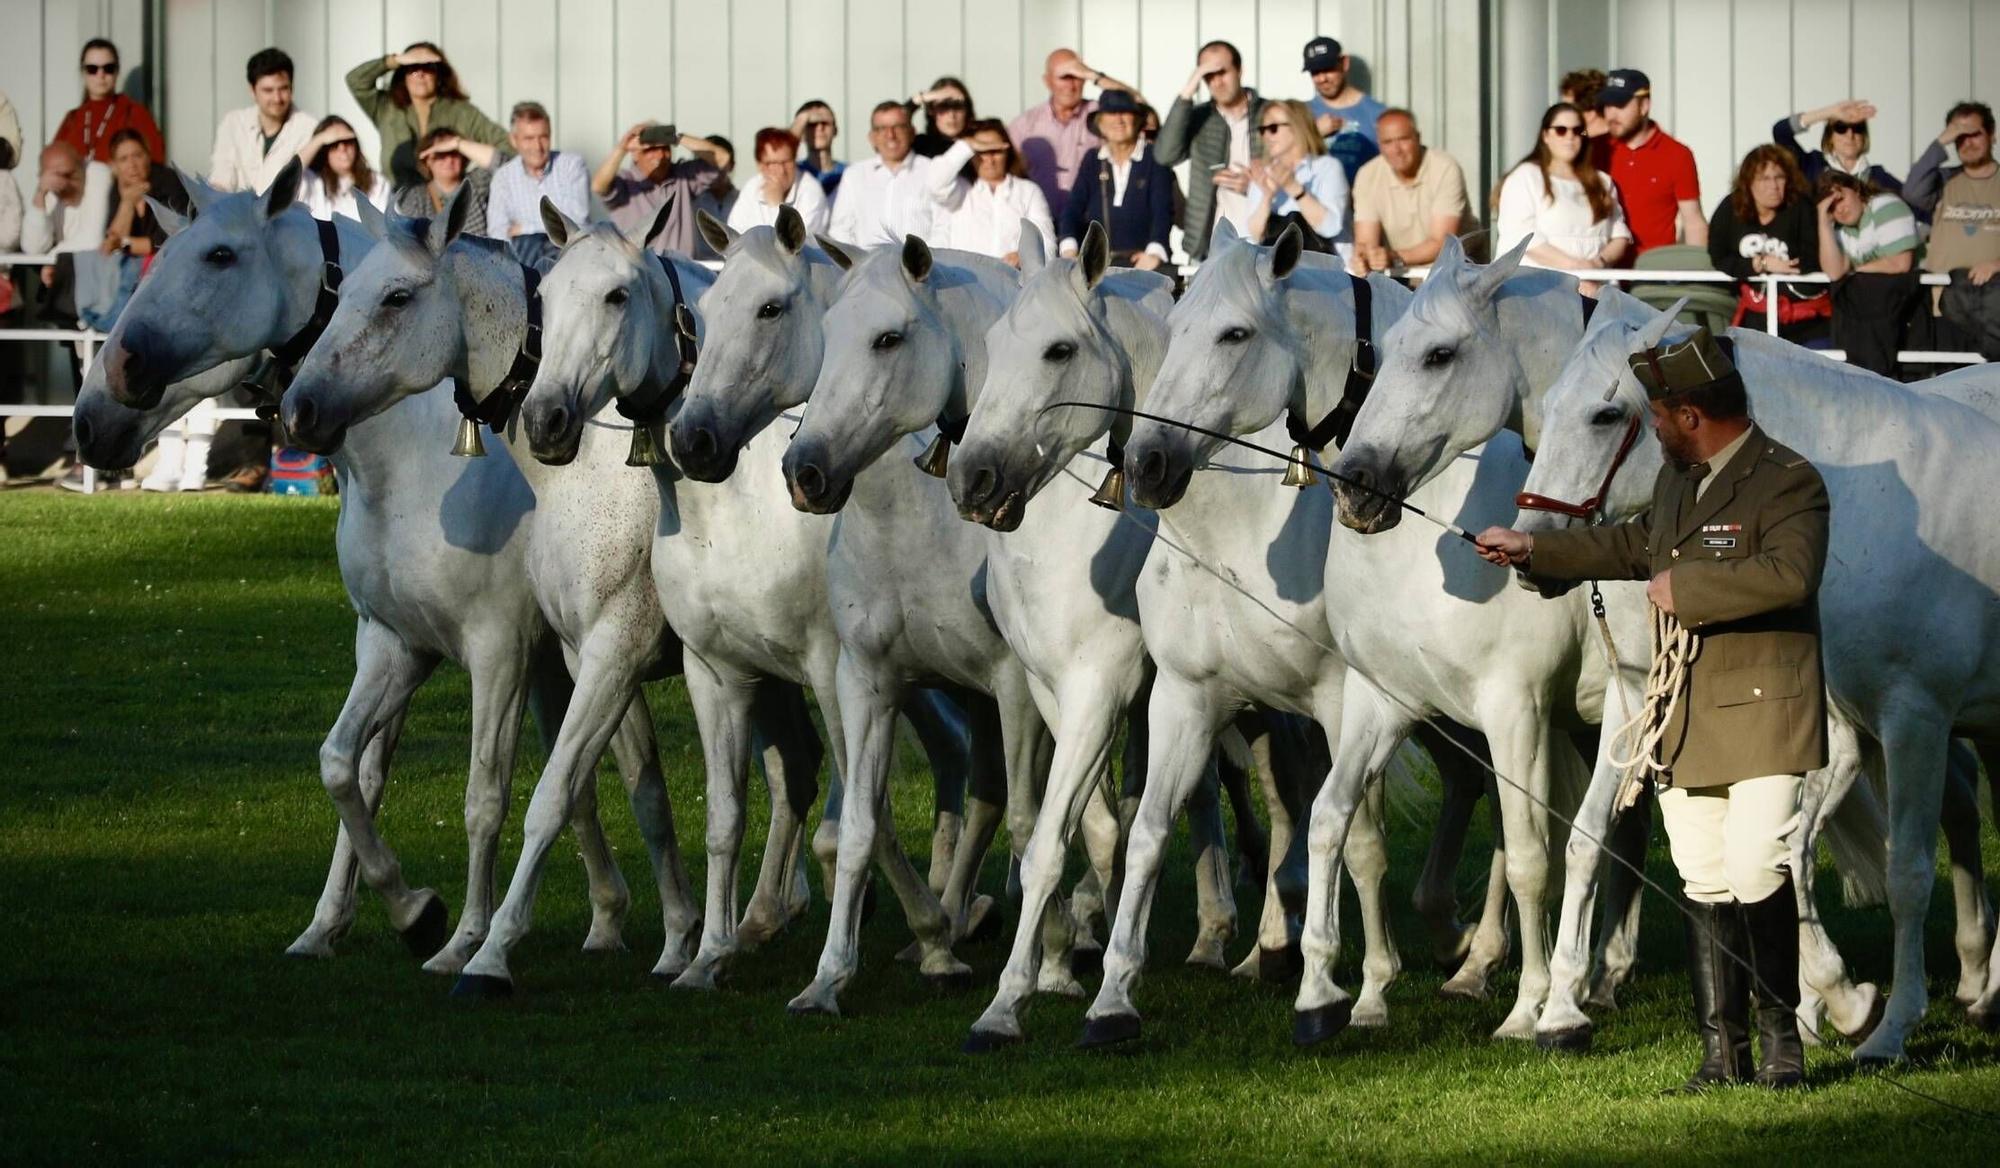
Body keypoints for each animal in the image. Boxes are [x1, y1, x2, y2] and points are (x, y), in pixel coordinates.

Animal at [82, 164, 628, 968]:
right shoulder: (397, 640)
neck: (415, 457)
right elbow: (351, 770)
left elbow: (485, 794)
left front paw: (459, 934)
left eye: (219, 256)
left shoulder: (498, 651)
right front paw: (378, 915)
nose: (97, 405)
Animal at [1088, 224, 1520, 1048]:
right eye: (1174, 327)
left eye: (1235, 333)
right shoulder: (1188, 698)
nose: (1148, 464)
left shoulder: (1345, 699)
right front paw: (1113, 994)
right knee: (1471, 783)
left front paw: (1343, 985)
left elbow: (1353, 835)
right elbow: (1154, 828)